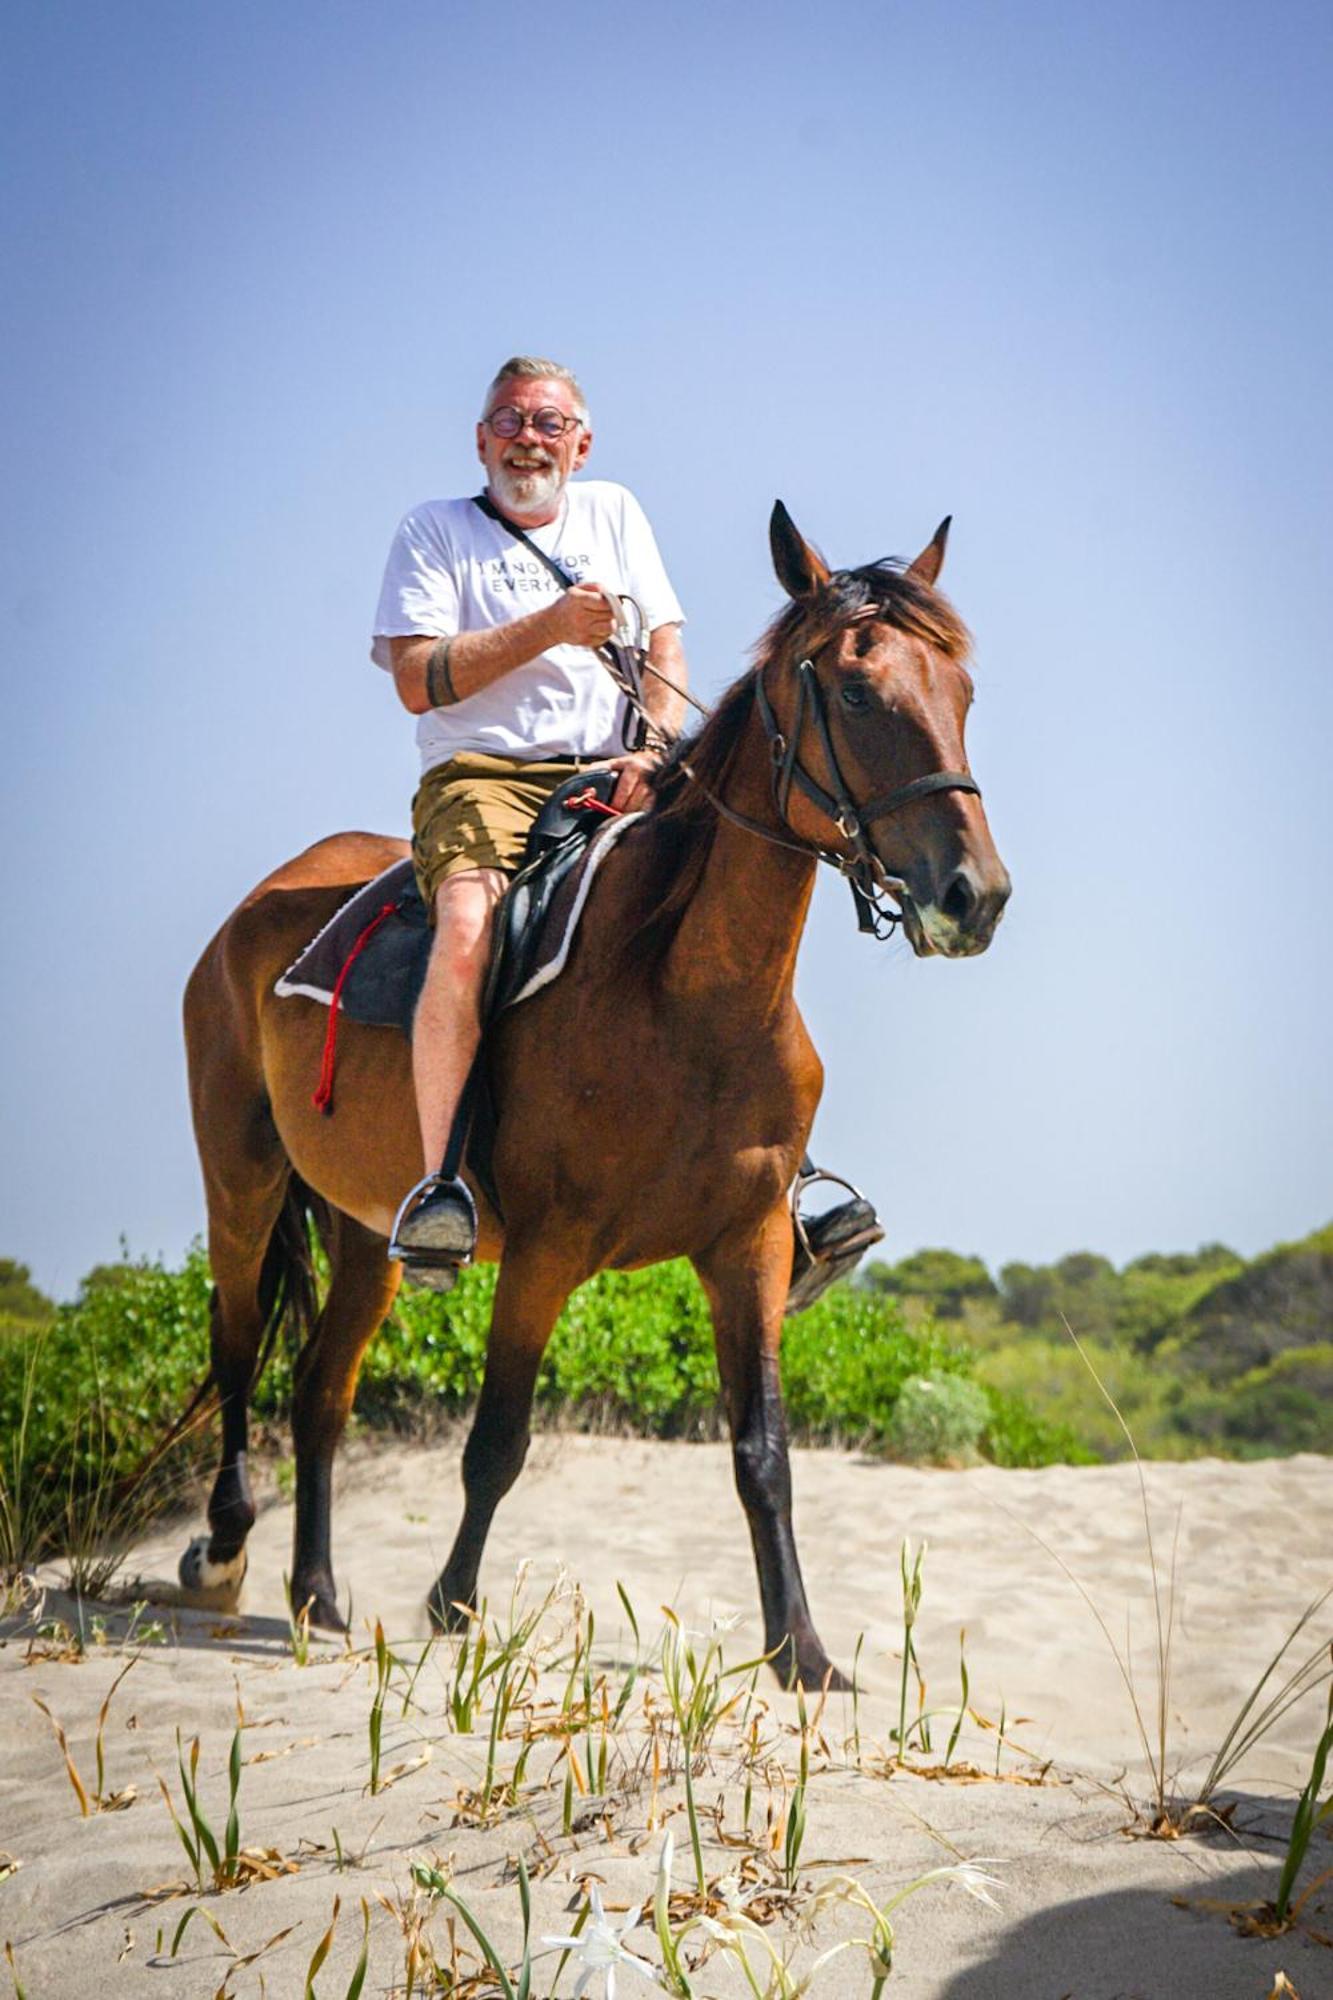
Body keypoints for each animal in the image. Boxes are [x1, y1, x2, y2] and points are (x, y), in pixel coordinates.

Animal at [179, 504, 1008, 1688]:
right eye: (854, 692)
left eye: (962, 692)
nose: (973, 896)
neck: (690, 995)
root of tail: (258, 906)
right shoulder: (544, 1252)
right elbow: (497, 1442)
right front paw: (452, 1605)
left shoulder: (750, 1245)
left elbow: (764, 1453)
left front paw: (802, 1653)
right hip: (242, 1185)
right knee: (240, 1350)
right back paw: (223, 1554)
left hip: (363, 1231)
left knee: (319, 1391)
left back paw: (318, 1595)